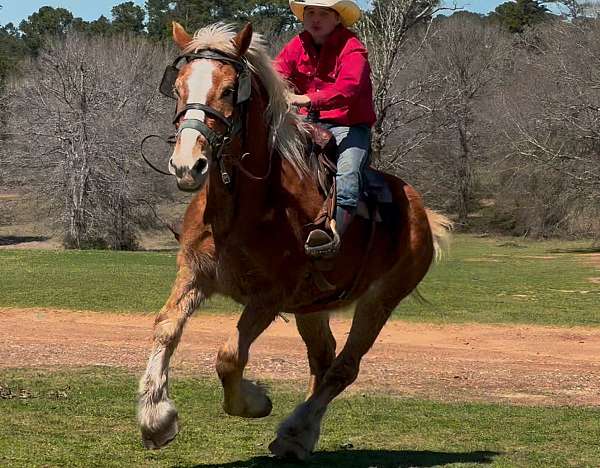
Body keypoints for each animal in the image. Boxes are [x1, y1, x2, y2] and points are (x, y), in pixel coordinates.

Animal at [138, 22, 450, 460]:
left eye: (230, 89)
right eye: (178, 86)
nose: (188, 165)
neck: (247, 201)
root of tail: (423, 213)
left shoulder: (269, 297)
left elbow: (229, 357)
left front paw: (255, 402)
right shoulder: (195, 274)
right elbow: (166, 328)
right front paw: (156, 418)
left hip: (380, 301)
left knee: (343, 368)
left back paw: (295, 429)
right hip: (312, 307)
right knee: (323, 360)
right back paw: (299, 436)